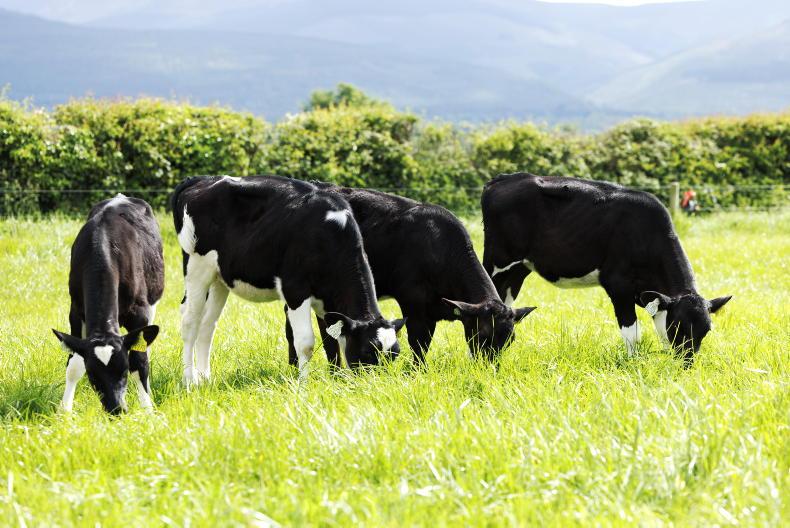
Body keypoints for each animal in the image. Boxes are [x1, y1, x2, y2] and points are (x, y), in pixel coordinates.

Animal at [52, 194, 163, 414]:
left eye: (124, 371)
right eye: (93, 375)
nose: (116, 409)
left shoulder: (140, 312)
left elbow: (139, 361)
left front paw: (148, 409)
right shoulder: (75, 311)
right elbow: (74, 364)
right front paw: (64, 411)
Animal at [171, 176, 405, 384]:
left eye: (394, 355)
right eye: (367, 352)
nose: (376, 386)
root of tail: (203, 180)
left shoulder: (327, 301)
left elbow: (333, 340)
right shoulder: (295, 290)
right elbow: (306, 342)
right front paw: (303, 384)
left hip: (219, 278)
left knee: (207, 325)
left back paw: (205, 379)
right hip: (197, 267)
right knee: (190, 322)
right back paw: (189, 380)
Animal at [481, 173, 731, 364]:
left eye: (706, 330)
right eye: (678, 327)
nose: (686, 363)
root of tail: (503, 179)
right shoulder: (619, 286)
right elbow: (631, 332)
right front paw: (633, 364)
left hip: (518, 269)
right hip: (497, 262)